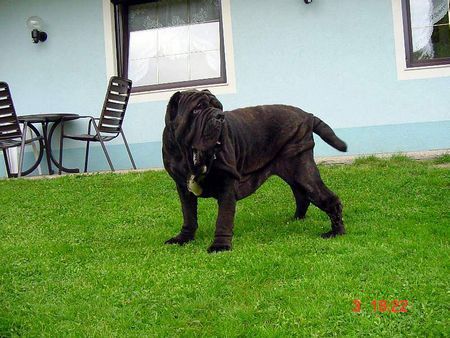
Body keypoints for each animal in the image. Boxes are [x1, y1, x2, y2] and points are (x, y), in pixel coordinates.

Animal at [163, 88, 348, 252]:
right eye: (197, 109)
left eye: (218, 107)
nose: (220, 116)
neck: (191, 155)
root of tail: (308, 115)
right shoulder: (183, 187)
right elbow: (188, 215)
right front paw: (183, 238)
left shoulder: (226, 184)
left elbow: (223, 218)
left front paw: (220, 246)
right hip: (293, 171)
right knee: (302, 195)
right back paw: (295, 220)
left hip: (302, 171)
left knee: (329, 199)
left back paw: (336, 232)